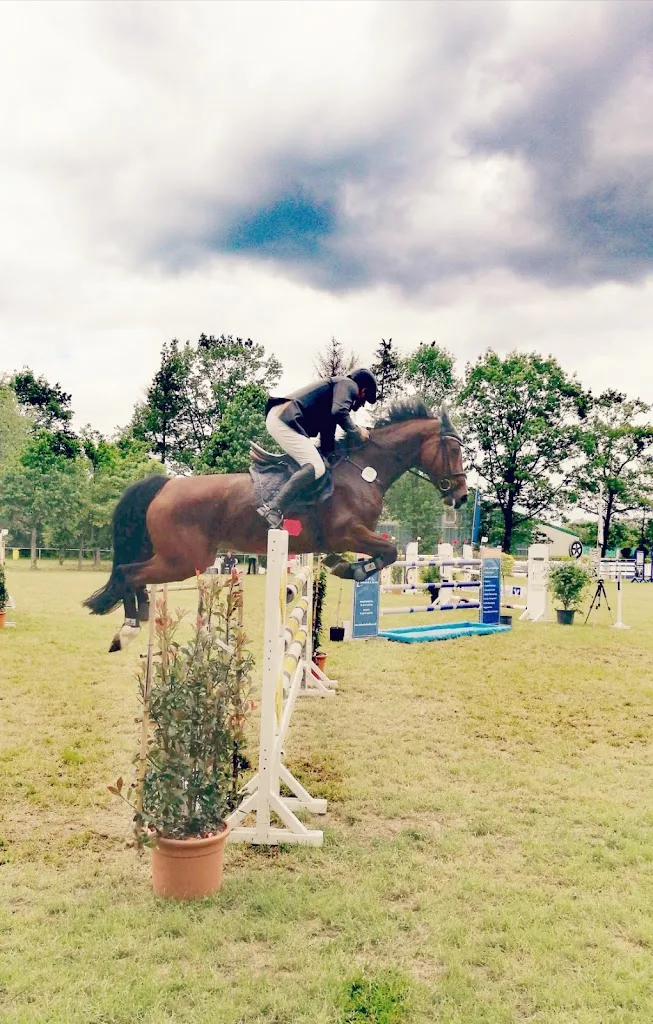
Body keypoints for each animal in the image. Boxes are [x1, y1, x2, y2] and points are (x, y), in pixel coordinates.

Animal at [84, 400, 468, 651]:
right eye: (453, 450)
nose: (462, 497)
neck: (363, 471)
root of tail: (166, 486)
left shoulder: (340, 538)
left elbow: (378, 554)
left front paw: (342, 566)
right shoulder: (349, 532)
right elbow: (387, 552)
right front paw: (353, 569)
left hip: (174, 557)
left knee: (132, 574)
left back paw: (139, 617)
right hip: (184, 560)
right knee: (130, 573)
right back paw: (128, 629)